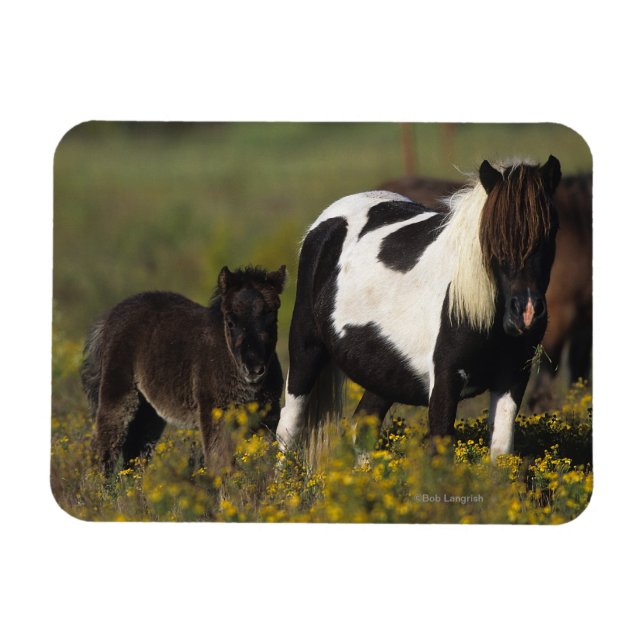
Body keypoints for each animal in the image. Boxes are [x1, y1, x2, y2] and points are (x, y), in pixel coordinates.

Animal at [81, 265, 287, 475]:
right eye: (230, 322)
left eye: (272, 319)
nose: (254, 368)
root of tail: (110, 318)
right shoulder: (214, 414)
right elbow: (219, 462)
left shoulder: (267, 416)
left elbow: (266, 459)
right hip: (118, 393)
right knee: (104, 445)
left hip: (149, 410)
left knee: (136, 451)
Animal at [276, 157, 561, 460]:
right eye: (493, 235)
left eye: (551, 231)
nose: (526, 313)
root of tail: (328, 220)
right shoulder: (445, 381)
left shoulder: (513, 378)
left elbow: (501, 452)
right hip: (306, 351)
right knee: (288, 429)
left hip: (384, 372)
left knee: (363, 425)